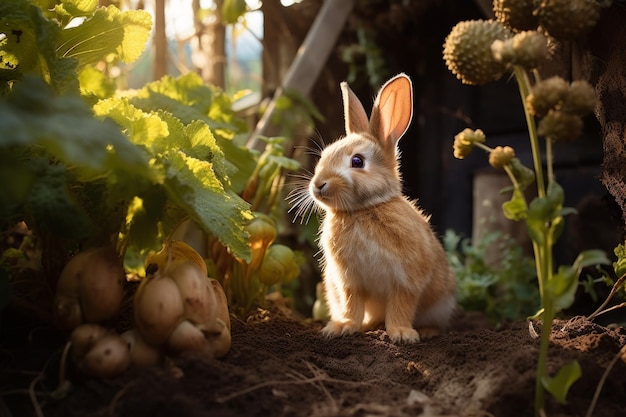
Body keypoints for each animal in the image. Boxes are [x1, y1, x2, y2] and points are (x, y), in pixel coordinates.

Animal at [288, 73, 454, 342]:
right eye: (324, 156)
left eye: (357, 161)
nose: (318, 185)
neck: (361, 210)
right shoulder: (349, 281)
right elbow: (351, 304)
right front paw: (342, 327)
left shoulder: (407, 280)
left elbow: (401, 306)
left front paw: (401, 334)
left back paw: (427, 331)